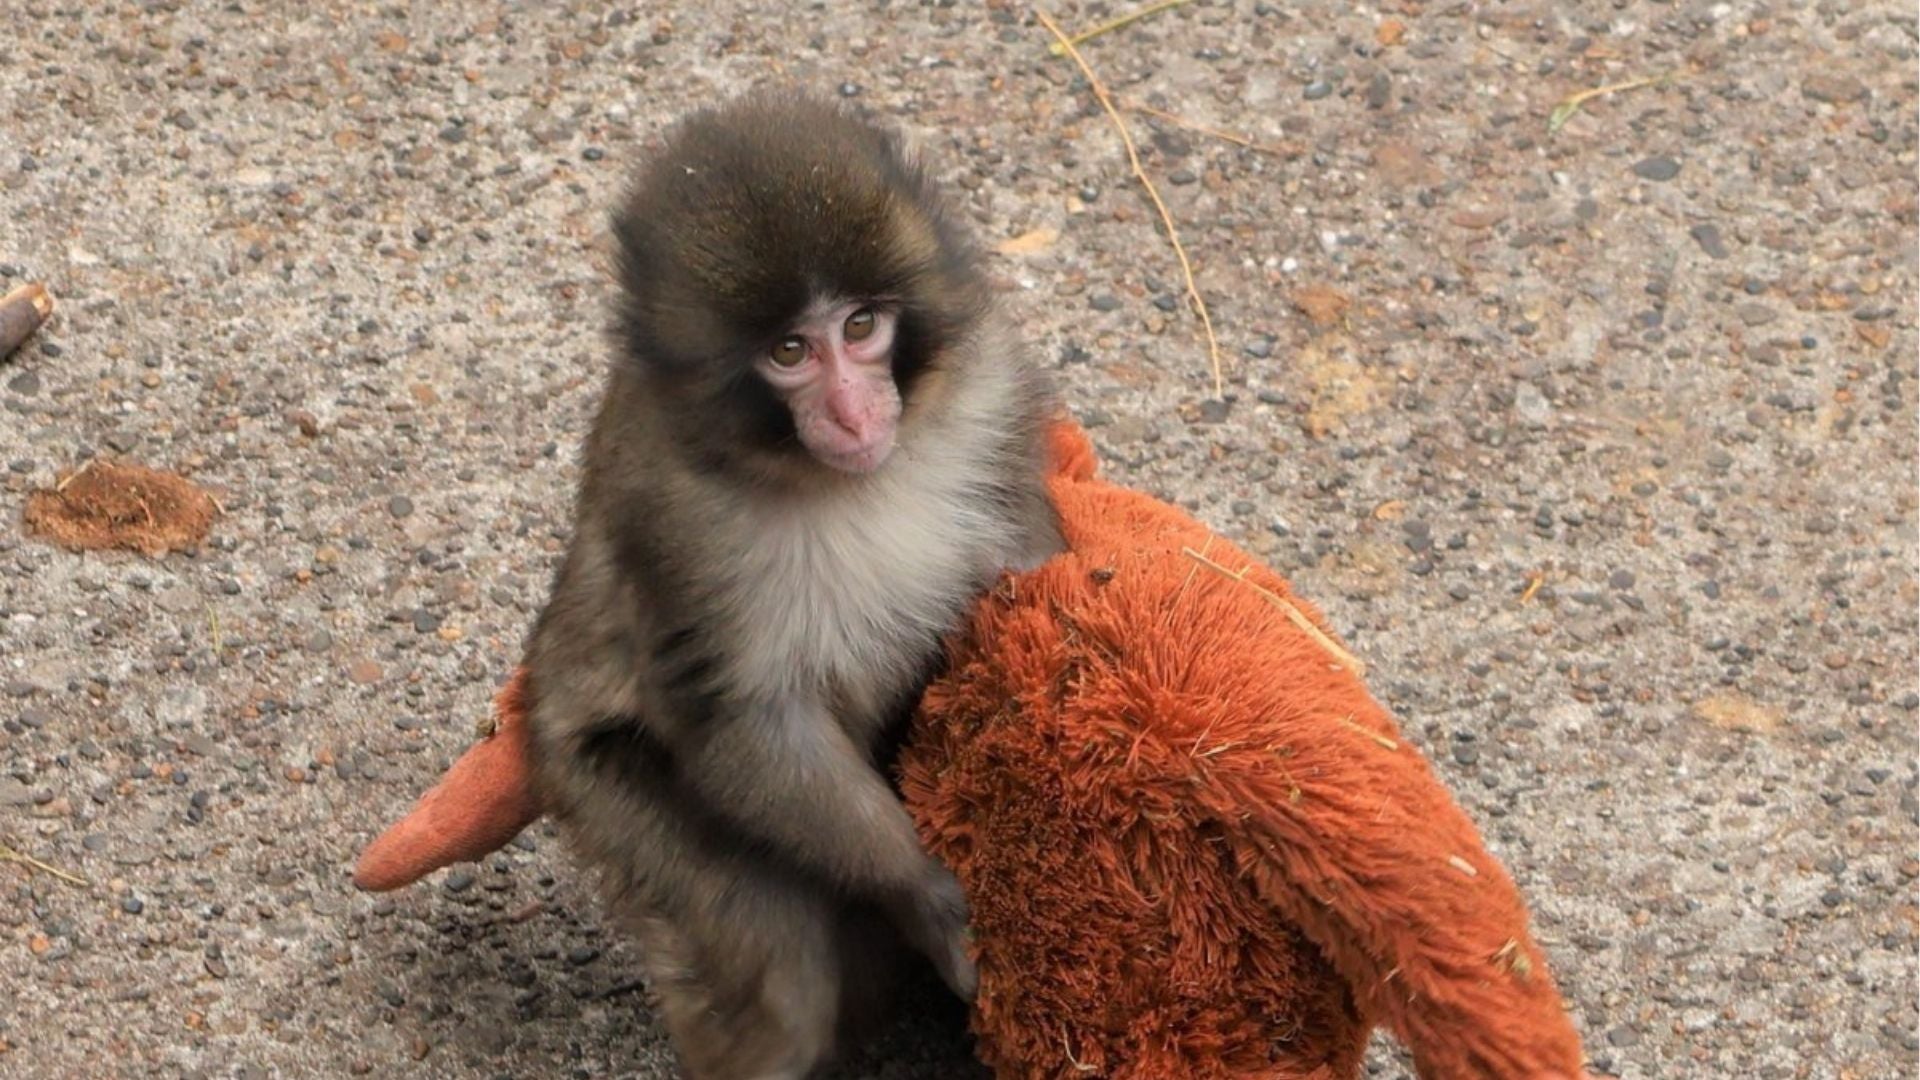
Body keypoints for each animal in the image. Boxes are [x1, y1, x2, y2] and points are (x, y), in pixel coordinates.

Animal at [521, 91, 1064, 1080]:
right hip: (598, 784)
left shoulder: (987, 390)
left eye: (859, 327)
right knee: (784, 982)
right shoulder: (678, 520)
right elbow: (746, 720)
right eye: (788, 351)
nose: (853, 412)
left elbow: (1028, 562)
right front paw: (929, 894)